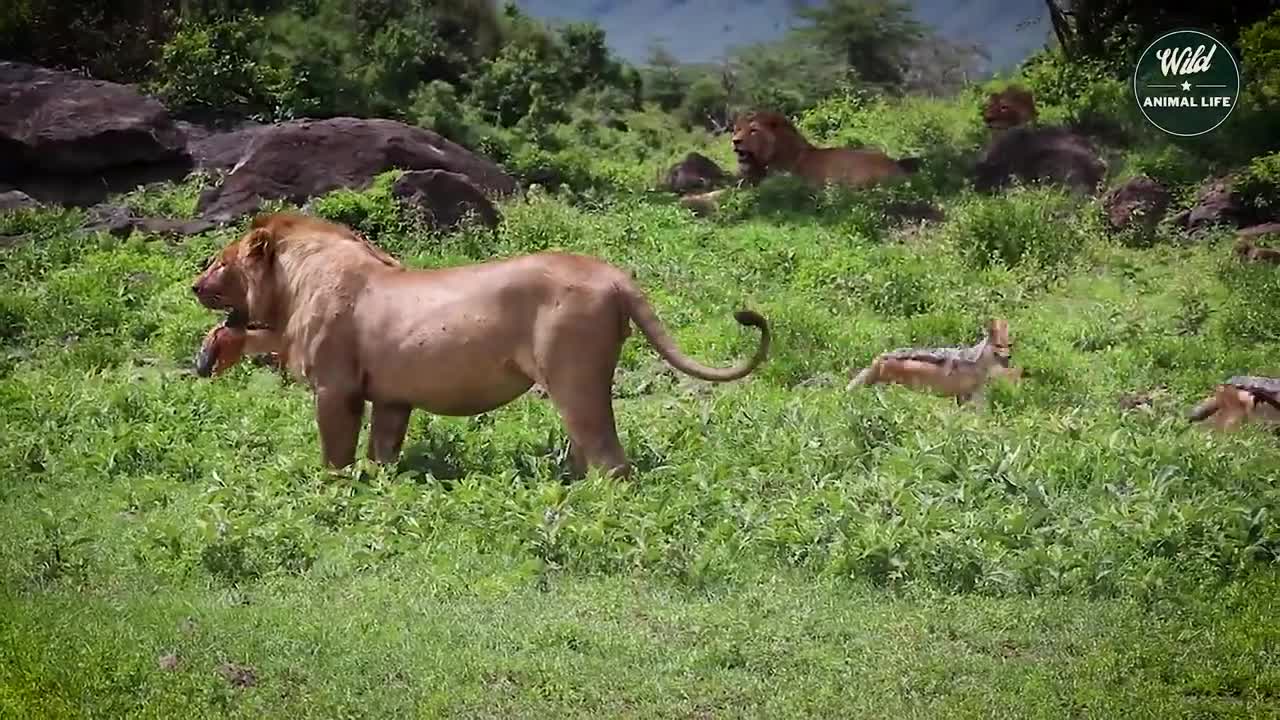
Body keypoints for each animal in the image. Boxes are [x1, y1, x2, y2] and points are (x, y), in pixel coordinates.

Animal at [189, 210, 768, 474]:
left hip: (574, 377)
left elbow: (337, 456)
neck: (293, 286)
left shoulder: (336, 390)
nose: (194, 286)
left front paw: (331, 493)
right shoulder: (392, 400)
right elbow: (382, 456)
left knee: (610, 459)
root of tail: (613, 274)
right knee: (590, 452)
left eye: (219, 261)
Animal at [849, 319, 1018, 404]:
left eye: (1009, 345)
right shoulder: (967, 397)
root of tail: (880, 358)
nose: (1009, 357)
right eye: (998, 346)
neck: (977, 364)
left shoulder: (964, 397)